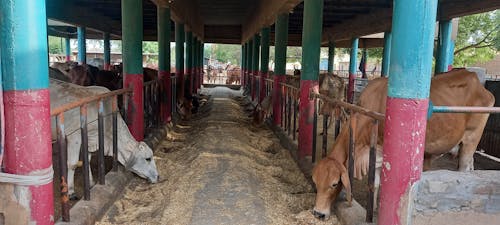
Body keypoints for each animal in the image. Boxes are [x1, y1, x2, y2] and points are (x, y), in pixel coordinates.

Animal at [310, 69, 494, 220]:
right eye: (315, 182)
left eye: (334, 184)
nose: (318, 213)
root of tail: (479, 84)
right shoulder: (375, 153)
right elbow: (375, 184)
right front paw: (373, 209)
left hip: (471, 138)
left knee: (464, 168)